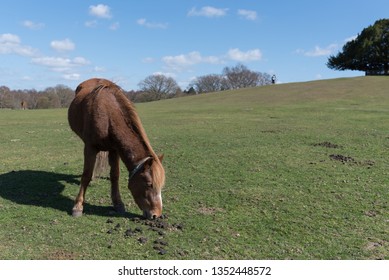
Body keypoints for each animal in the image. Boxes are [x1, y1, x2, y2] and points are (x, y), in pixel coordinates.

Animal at [67, 78, 164, 219]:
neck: (108, 115)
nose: (156, 215)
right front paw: (78, 206)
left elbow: (115, 175)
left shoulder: (115, 150)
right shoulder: (90, 147)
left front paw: (118, 203)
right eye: (149, 184)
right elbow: (86, 175)